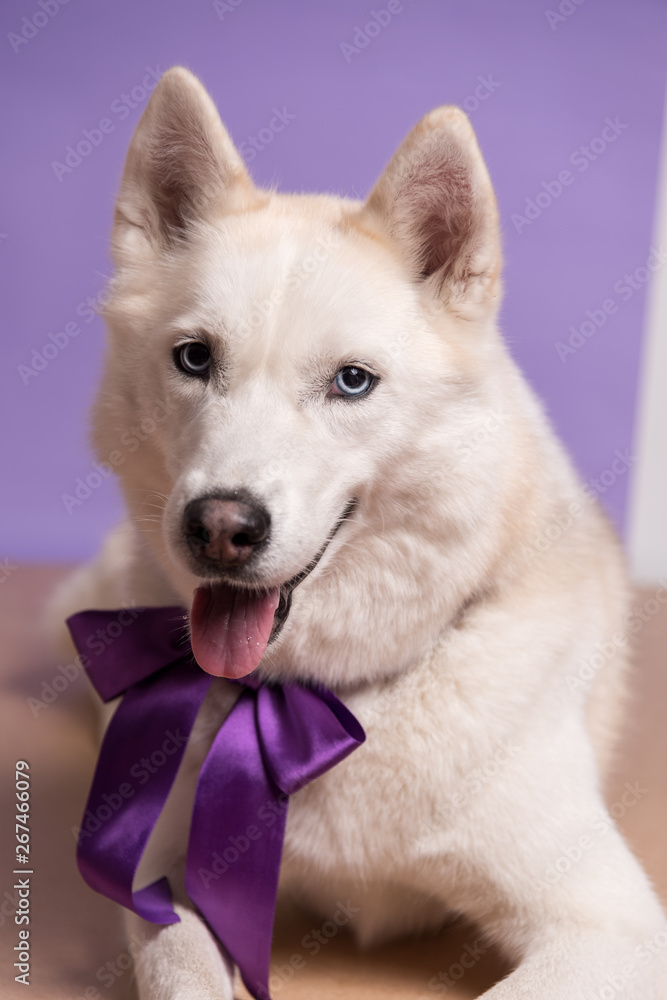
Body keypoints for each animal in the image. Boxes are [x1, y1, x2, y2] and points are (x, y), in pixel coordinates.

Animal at [52, 70, 667, 1000]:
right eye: (194, 358)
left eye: (351, 382)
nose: (221, 528)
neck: (318, 696)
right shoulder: (148, 876)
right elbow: (179, 967)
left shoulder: (611, 925)